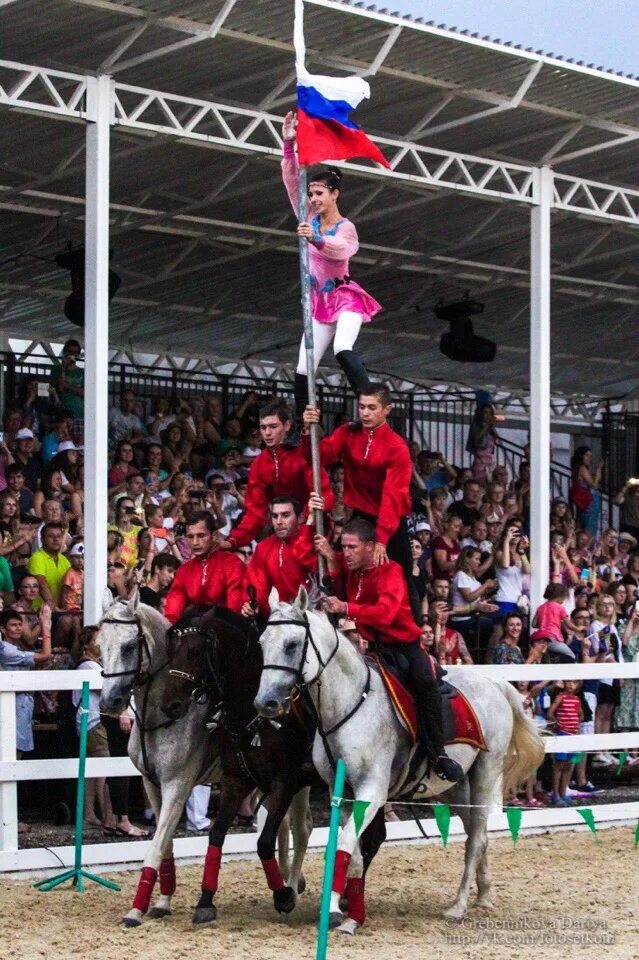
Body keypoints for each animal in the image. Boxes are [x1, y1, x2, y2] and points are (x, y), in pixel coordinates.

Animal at [99, 596, 312, 928]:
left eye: (128, 647)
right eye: (100, 644)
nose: (109, 702)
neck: (160, 718)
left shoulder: (178, 785)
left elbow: (157, 846)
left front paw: (135, 910)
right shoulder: (152, 784)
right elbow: (167, 845)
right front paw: (162, 902)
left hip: (295, 784)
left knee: (302, 829)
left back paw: (291, 889)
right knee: (284, 827)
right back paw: (290, 881)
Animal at [162, 612, 388, 928]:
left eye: (194, 651)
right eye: (171, 650)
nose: (169, 705)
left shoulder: (284, 784)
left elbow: (265, 841)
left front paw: (283, 896)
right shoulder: (236, 782)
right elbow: (217, 834)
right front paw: (206, 902)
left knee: (364, 835)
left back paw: (340, 896)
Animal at [255, 588, 544, 932]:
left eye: (291, 644)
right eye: (262, 642)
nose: (266, 702)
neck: (350, 704)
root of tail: (495, 684)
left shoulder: (372, 791)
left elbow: (345, 844)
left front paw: (340, 914)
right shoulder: (346, 795)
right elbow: (352, 852)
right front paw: (346, 910)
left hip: (486, 775)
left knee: (475, 839)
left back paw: (458, 906)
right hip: (456, 788)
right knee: (479, 833)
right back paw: (484, 895)